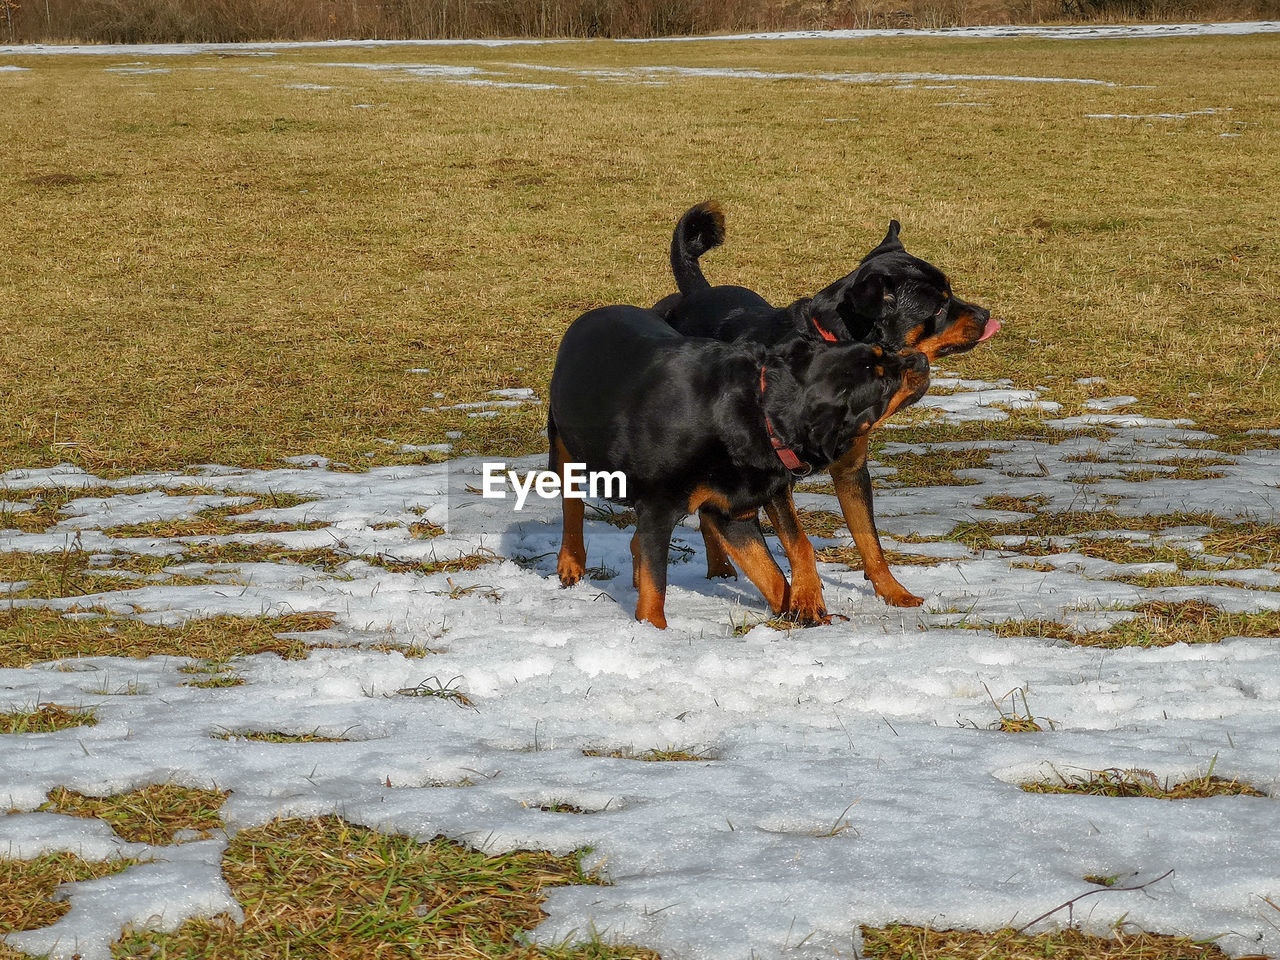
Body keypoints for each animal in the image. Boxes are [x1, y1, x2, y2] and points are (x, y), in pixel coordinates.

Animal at [545, 302, 926, 632]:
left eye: (882, 351)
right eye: (881, 381)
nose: (921, 359)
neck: (755, 414)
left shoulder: (732, 510)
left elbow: (773, 567)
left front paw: (802, 611)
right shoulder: (659, 508)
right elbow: (658, 584)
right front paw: (654, 630)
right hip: (563, 448)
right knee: (572, 507)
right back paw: (570, 564)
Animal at [650, 203, 998, 609]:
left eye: (950, 293)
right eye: (939, 307)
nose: (986, 315)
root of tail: (694, 292)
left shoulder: (852, 471)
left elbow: (870, 541)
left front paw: (895, 594)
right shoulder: (776, 481)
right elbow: (799, 541)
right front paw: (806, 597)